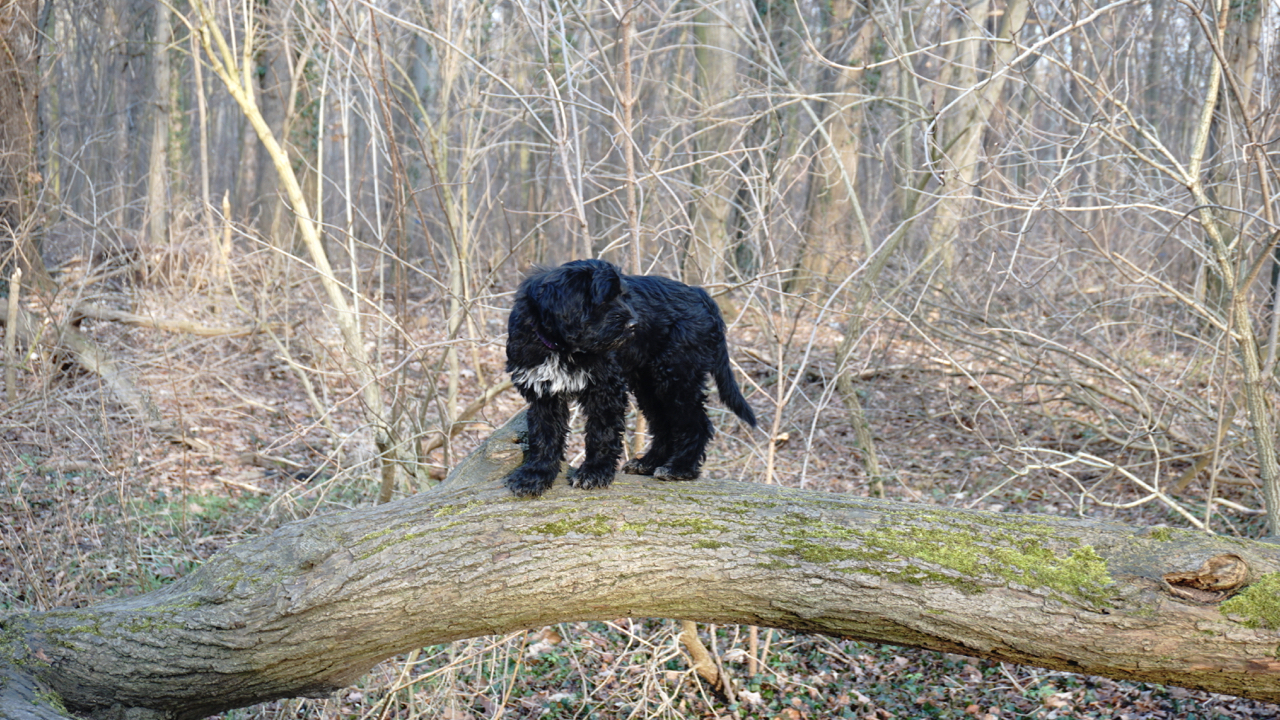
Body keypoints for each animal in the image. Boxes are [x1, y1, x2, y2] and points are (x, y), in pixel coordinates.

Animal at [504, 260, 752, 497]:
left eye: (623, 296)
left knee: (695, 422)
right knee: (664, 424)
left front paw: (595, 472)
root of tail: (699, 293)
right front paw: (535, 475)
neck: (561, 347)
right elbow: (544, 435)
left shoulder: (605, 388)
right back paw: (649, 463)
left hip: (678, 377)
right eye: (604, 299)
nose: (634, 325)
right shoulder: (543, 394)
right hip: (650, 385)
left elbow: (602, 433)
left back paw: (680, 468)